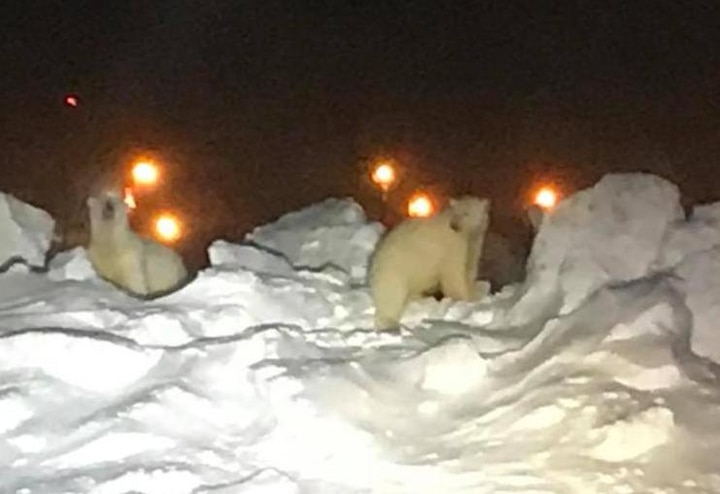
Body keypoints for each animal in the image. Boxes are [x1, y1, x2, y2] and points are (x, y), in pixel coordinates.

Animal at [368, 195, 492, 330]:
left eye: (466, 213)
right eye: (455, 213)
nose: (454, 226)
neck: (466, 235)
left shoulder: (474, 243)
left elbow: (470, 267)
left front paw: (476, 290)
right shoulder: (452, 247)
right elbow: (453, 274)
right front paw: (468, 298)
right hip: (397, 267)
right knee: (392, 294)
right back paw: (389, 322)